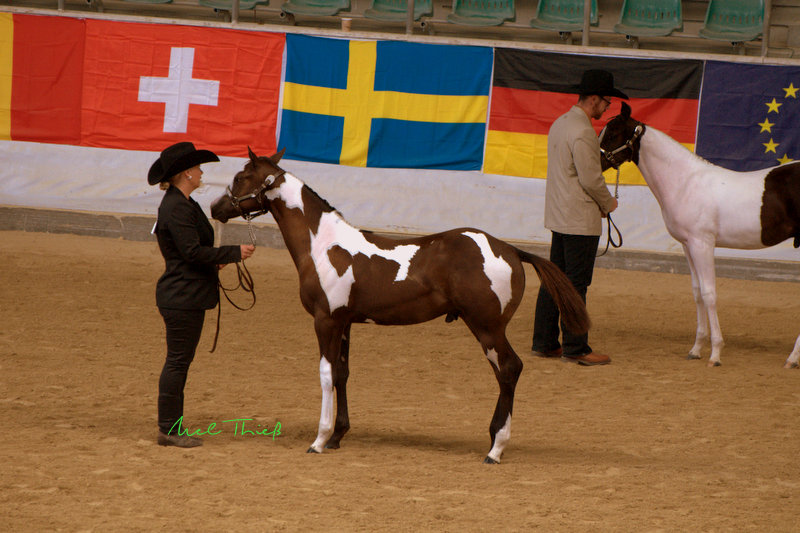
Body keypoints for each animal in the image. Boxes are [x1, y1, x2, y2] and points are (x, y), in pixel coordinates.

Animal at [209, 149, 592, 462]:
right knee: (506, 373)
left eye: (240, 177)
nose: (215, 207)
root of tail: (510, 249)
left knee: (509, 369)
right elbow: (342, 373)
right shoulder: (345, 322)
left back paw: (495, 449)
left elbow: (325, 374)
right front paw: (337, 436)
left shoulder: (325, 321)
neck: (324, 245)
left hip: (487, 327)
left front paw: (319, 440)